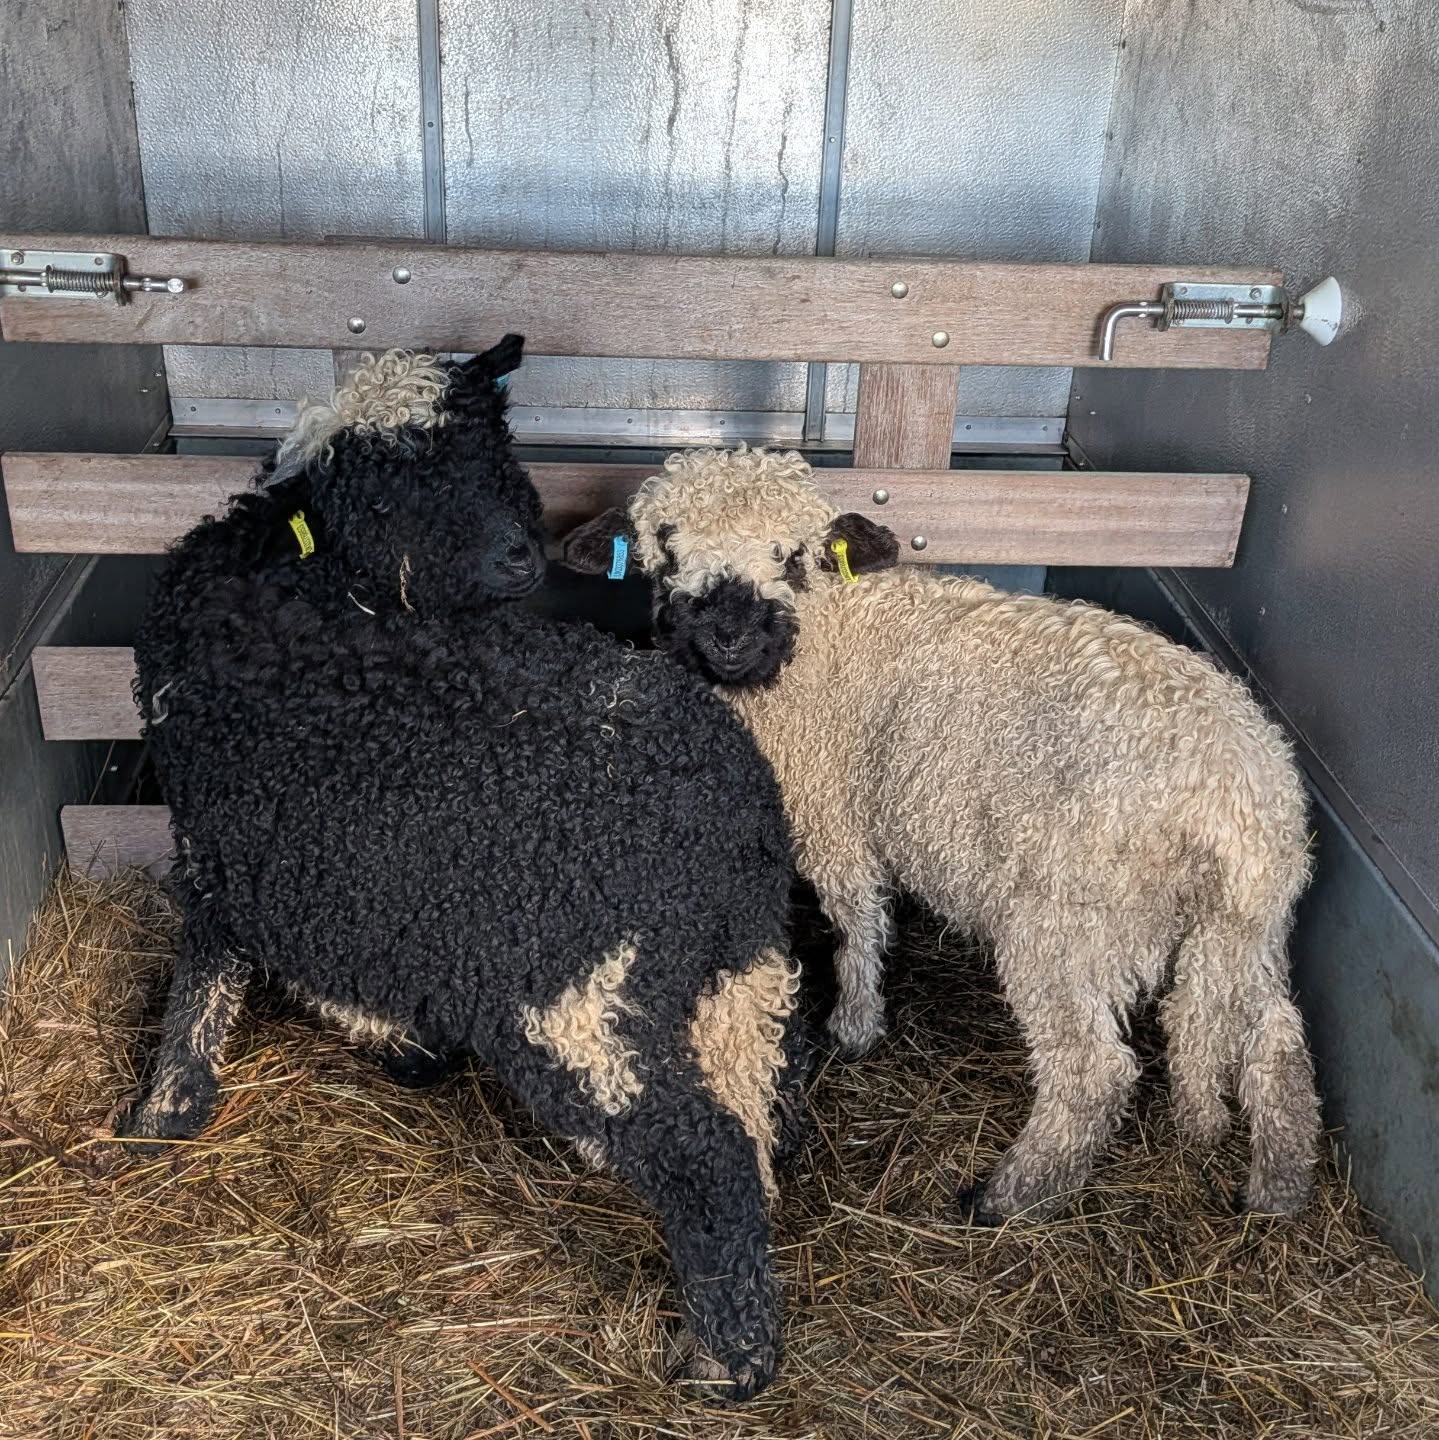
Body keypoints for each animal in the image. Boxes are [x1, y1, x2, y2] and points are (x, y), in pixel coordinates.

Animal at [118, 353, 808, 1399]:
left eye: (493, 456)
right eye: (381, 492)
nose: (520, 559)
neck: (301, 586)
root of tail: (725, 828)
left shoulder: (221, 848)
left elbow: (203, 979)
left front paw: (163, 1113)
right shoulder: (323, 863)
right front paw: (400, 1044)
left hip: (573, 998)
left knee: (705, 1154)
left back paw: (724, 1362)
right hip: (738, 969)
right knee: (749, 1104)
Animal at [561, 445, 1321, 1223]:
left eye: (792, 554)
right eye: (666, 550)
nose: (728, 636)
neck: (822, 633)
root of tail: (1235, 797)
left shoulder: (830, 814)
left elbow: (854, 921)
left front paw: (855, 1025)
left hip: (1069, 924)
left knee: (1092, 1073)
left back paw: (1005, 1196)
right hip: (1241, 933)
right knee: (1275, 1039)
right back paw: (1276, 1186)